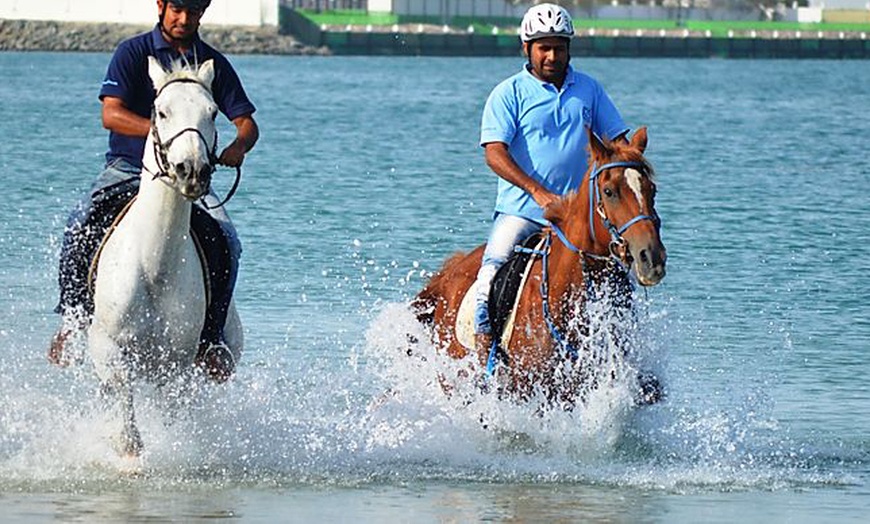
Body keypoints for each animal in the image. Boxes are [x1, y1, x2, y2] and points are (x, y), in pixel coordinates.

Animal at [90, 57, 242, 456]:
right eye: (161, 111)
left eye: (213, 111)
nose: (192, 171)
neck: (154, 268)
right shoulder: (109, 348)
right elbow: (125, 420)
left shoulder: (175, 365)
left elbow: (172, 416)